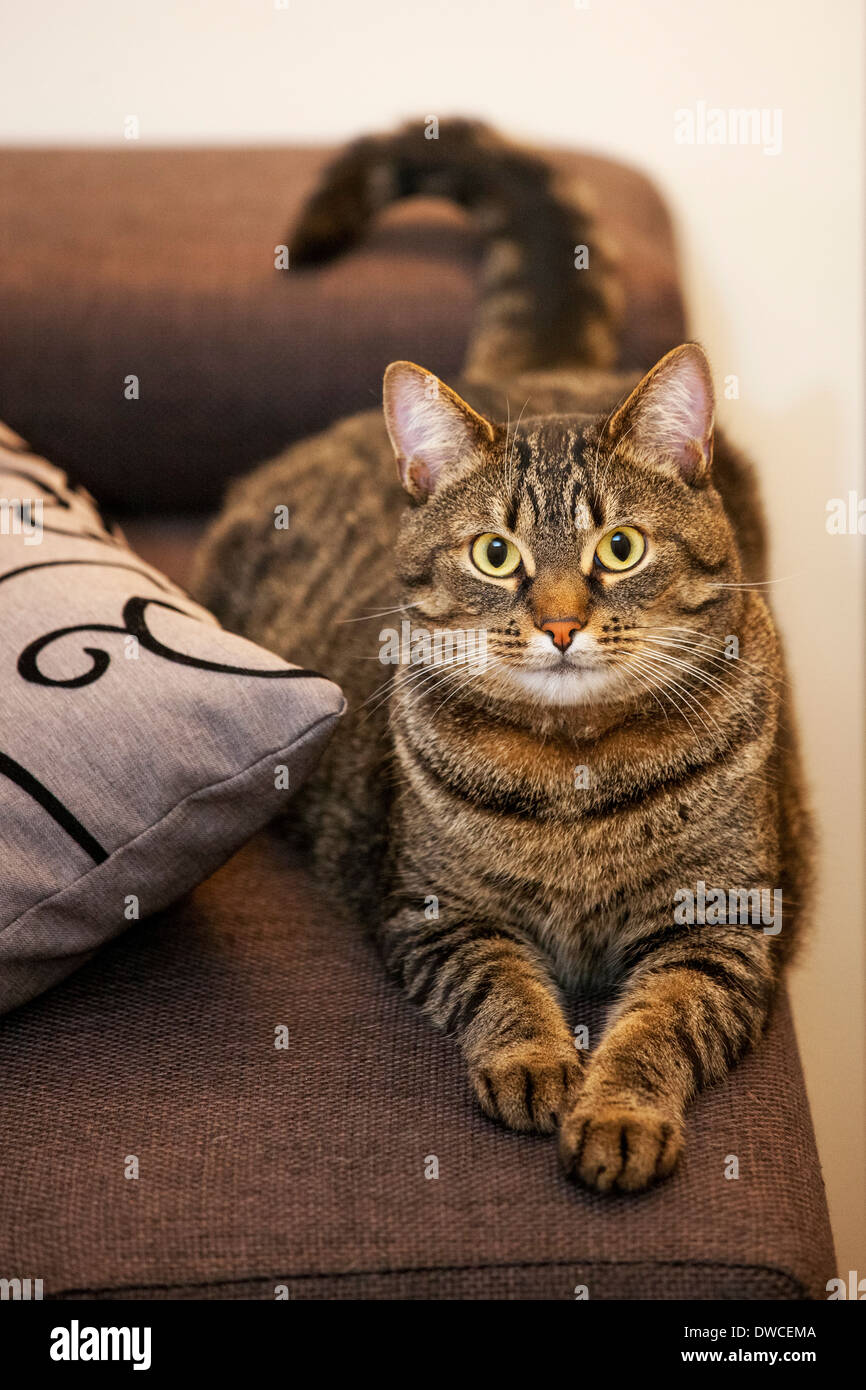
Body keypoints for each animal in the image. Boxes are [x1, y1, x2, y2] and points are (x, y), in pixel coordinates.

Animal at [194, 119, 811, 1189]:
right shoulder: (435, 911)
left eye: (620, 549)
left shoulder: (723, 923)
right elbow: (502, 983)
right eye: (496, 554)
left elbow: (659, 1022)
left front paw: (618, 1115)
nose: (561, 623)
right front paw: (535, 1063)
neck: (574, 773)